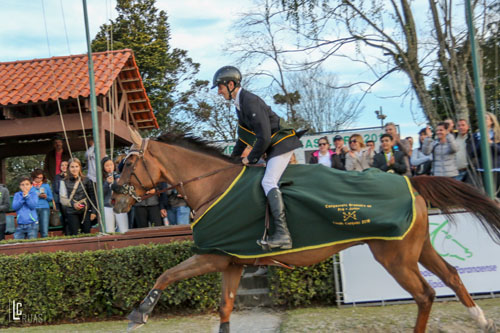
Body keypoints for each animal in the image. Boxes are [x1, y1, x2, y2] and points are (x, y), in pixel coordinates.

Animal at [113, 130, 500, 332]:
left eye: (128, 164)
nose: (115, 198)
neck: (212, 186)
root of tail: (410, 180)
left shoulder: (211, 256)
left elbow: (166, 275)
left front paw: (139, 313)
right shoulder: (231, 262)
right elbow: (224, 307)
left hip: (395, 257)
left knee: (425, 294)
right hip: (417, 249)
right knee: (450, 275)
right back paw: (479, 318)